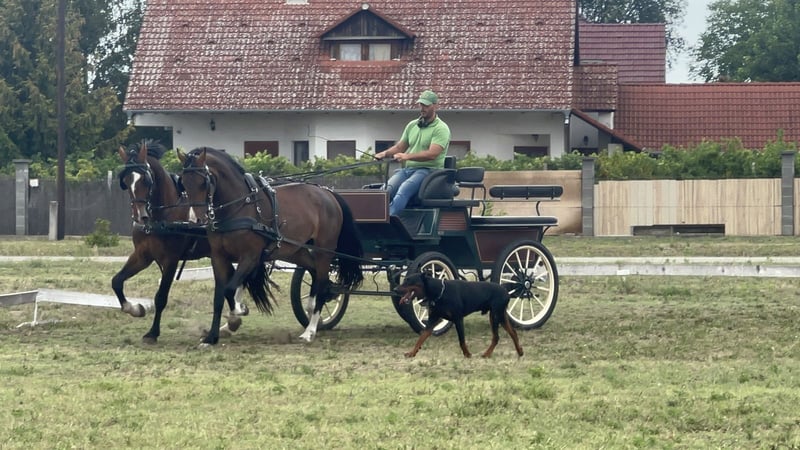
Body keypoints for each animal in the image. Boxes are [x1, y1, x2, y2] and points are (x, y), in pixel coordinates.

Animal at [114, 140, 249, 344]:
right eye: (127, 181)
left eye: (145, 179)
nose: (139, 216)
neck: (164, 215)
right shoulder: (142, 256)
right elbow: (116, 281)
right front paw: (135, 309)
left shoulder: (171, 259)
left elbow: (161, 297)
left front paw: (152, 333)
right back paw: (233, 319)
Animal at [177, 146, 364, 346]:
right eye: (183, 183)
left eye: (205, 182)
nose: (196, 220)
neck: (238, 207)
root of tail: (328, 193)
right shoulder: (219, 257)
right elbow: (219, 296)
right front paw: (212, 336)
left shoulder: (250, 256)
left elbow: (229, 289)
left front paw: (238, 313)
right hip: (295, 251)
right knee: (316, 275)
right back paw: (318, 304)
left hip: (324, 251)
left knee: (320, 283)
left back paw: (310, 331)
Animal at [394, 272, 524, 358]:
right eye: (404, 279)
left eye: (408, 281)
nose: (395, 289)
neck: (439, 292)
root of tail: (506, 291)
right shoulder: (432, 320)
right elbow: (421, 338)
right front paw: (412, 352)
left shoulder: (458, 319)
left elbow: (462, 340)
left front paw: (467, 354)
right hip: (500, 315)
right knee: (513, 332)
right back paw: (520, 351)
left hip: (496, 315)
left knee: (496, 337)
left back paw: (487, 354)